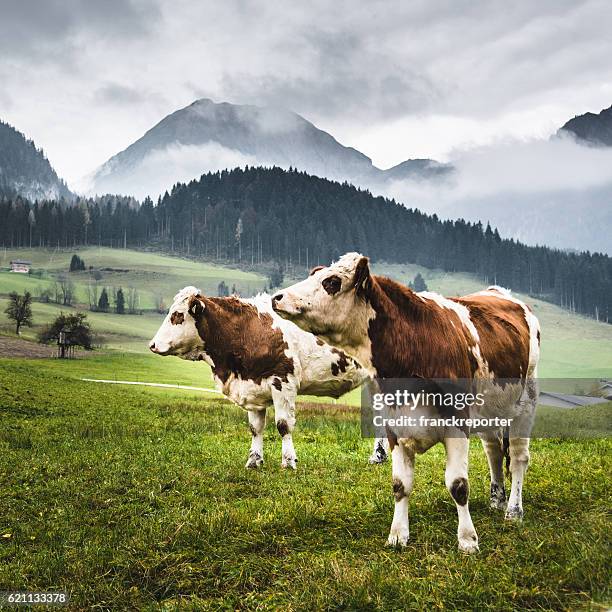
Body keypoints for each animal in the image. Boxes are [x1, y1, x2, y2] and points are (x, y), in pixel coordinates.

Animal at [149, 286, 378, 468]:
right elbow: (255, 428)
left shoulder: (283, 381)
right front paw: (254, 460)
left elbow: (283, 425)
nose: (152, 345)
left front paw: (289, 461)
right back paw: (378, 457)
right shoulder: (252, 387)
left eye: (177, 315)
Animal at [272, 251, 540, 552]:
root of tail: (501, 293)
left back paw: (513, 510)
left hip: (525, 404)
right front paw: (398, 535)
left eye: (331, 281)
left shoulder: (458, 425)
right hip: (490, 411)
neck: (415, 347)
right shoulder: (394, 427)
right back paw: (497, 500)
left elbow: (458, 485)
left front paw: (467, 540)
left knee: (518, 459)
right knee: (494, 451)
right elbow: (400, 485)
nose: (278, 297)